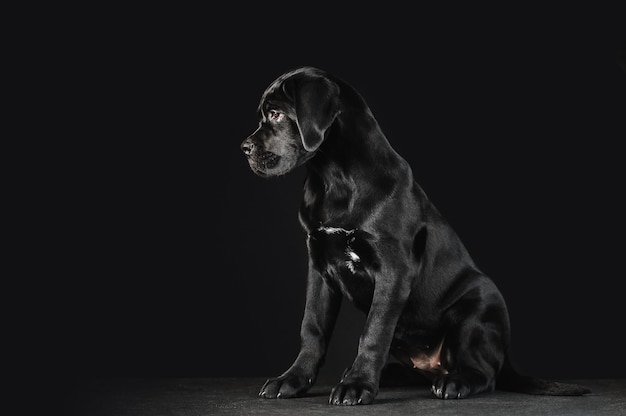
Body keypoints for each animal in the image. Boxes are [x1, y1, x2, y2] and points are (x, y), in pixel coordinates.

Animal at [238, 66, 584, 404]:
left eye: (276, 115)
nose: (244, 148)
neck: (333, 176)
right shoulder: (320, 269)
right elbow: (312, 328)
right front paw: (293, 380)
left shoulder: (394, 269)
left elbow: (373, 332)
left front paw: (357, 386)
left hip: (479, 306)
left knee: (485, 374)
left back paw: (454, 382)